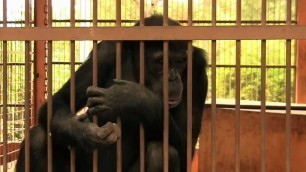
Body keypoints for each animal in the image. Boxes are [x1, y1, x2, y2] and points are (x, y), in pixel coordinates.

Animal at [16, 14, 208, 172]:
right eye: (161, 61)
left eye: (180, 61)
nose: (173, 77)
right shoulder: (104, 53)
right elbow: (60, 99)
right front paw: (84, 131)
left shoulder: (196, 71)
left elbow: (186, 141)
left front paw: (133, 98)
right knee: (38, 137)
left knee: (160, 153)